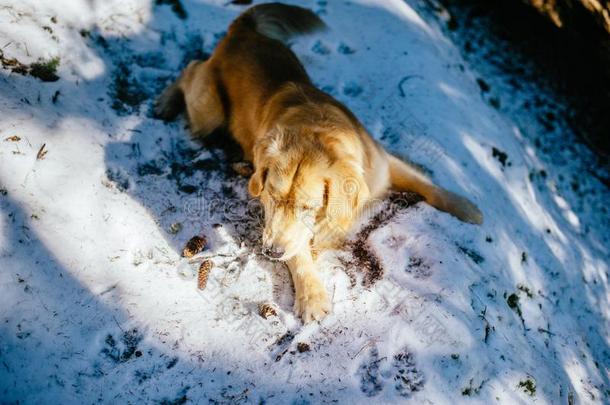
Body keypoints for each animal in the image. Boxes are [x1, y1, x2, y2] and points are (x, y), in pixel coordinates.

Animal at [153, 2, 480, 322]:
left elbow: (426, 183)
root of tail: (243, 31)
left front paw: (466, 207)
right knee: (191, 68)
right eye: (272, 197)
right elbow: (298, 251)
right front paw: (312, 296)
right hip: (208, 111)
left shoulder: (380, 164)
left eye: (308, 207)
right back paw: (165, 100)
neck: (319, 134)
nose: (271, 252)